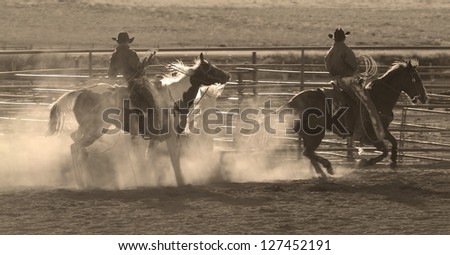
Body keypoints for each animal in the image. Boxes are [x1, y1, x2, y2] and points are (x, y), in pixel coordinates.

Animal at [47, 52, 230, 187]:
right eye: (210, 68)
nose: (227, 75)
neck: (174, 97)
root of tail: (81, 92)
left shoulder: (156, 138)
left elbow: (150, 158)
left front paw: (149, 179)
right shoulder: (171, 136)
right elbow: (174, 158)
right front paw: (180, 181)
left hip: (88, 129)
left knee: (74, 142)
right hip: (94, 130)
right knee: (75, 146)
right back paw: (84, 181)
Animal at [286, 59, 428, 179]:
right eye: (416, 79)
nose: (424, 98)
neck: (378, 98)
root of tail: (292, 102)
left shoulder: (382, 130)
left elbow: (394, 143)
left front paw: (393, 162)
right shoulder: (371, 135)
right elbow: (385, 151)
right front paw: (365, 162)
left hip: (309, 135)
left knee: (308, 153)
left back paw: (322, 173)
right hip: (316, 134)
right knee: (308, 152)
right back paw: (328, 167)